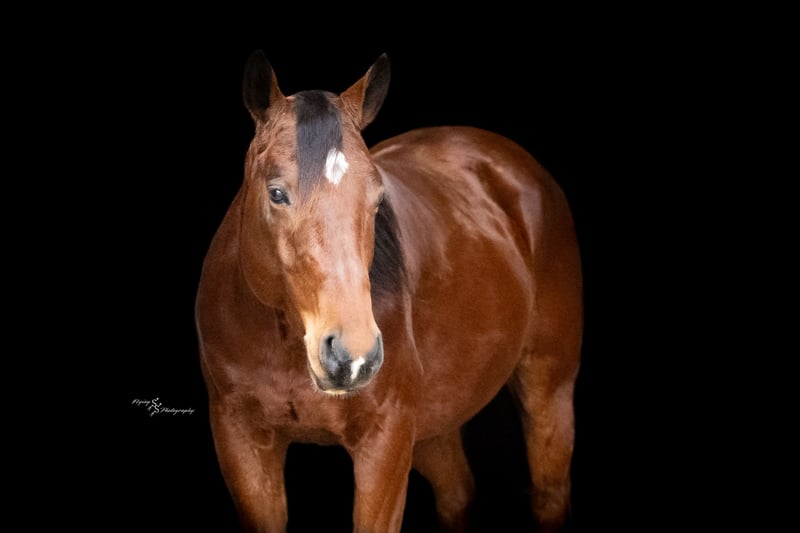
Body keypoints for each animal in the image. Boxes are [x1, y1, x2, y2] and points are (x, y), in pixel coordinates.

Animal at [195, 50, 583, 533]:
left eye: (378, 199)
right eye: (277, 193)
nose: (352, 356)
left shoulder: (385, 442)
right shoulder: (240, 441)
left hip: (549, 388)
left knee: (549, 489)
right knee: (458, 492)